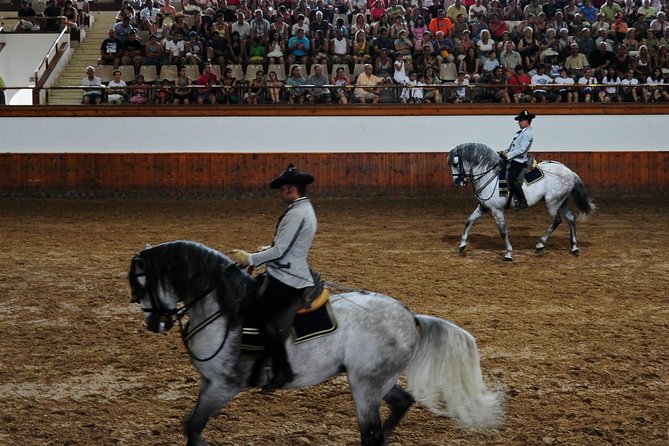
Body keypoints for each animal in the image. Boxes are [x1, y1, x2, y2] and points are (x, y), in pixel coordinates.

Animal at [126, 240, 500, 446]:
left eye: (142, 285)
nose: (154, 323)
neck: (225, 309)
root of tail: (410, 317)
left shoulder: (223, 385)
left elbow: (193, 429)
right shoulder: (208, 383)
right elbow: (191, 428)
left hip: (365, 386)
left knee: (371, 435)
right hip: (375, 380)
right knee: (400, 405)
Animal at [448, 143, 596, 262]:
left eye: (455, 163)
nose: (457, 183)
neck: (490, 175)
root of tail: (569, 172)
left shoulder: (497, 210)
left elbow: (503, 231)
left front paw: (508, 254)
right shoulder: (483, 207)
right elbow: (469, 220)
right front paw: (462, 246)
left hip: (553, 202)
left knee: (557, 220)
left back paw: (540, 245)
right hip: (561, 202)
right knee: (570, 218)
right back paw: (574, 248)